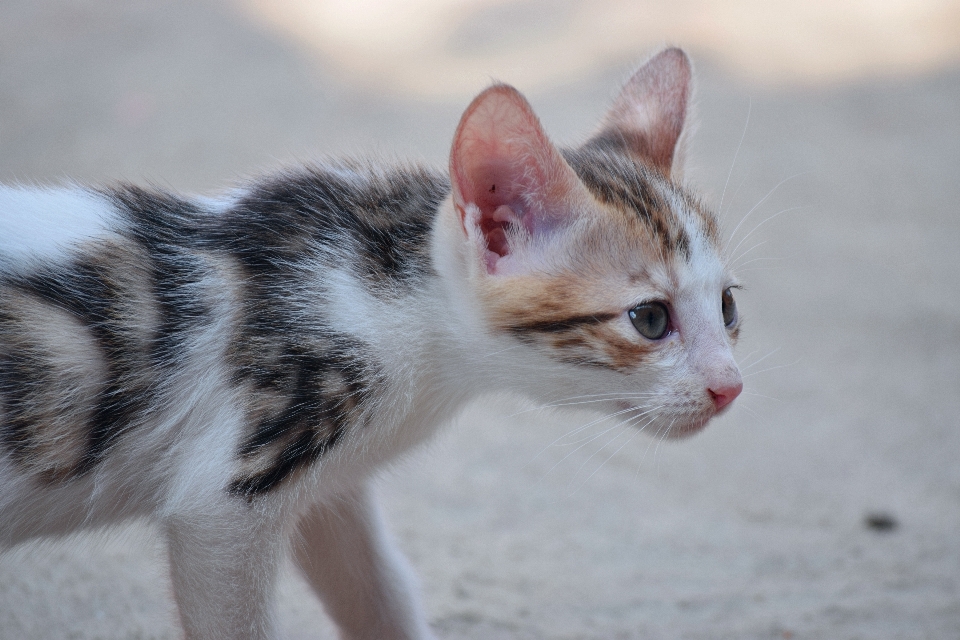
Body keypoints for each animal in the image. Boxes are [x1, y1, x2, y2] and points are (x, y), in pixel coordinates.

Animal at [0, 50, 744, 640]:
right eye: (649, 319)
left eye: (729, 307)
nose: (730, 387)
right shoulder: (226, 496)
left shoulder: (331, 490)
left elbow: (380, 593)